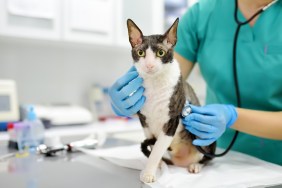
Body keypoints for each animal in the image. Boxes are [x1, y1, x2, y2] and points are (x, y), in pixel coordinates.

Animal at [126, 18, 216, 183]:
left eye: (160, 53)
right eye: (141, 53)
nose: (149, 65)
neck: (154, 84)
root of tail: (181, 162)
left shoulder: (171, 122)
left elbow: (156, 150)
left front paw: (148, 173)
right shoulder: (144, 121)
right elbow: (153, 147)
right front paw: (154, 167)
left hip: (203, 134)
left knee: (207, 158)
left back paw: (196, 165)